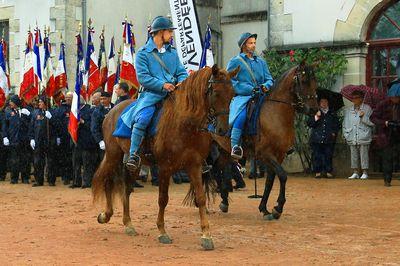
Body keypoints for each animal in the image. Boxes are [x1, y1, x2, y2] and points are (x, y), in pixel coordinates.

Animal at [92, 65, 239, 250]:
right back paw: (106, 215)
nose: (223, 130)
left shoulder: (195, 166)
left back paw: (128, 224)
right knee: (108, 181)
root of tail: (112, 110)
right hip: (113, 156)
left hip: (134, 164)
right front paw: (162, 232)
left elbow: (200, 198)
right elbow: (163, 199)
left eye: (233, 94)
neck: (185, 124)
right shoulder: (165, 168)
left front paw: (206, 235)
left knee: (126, 188)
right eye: (216, 93)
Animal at [212, 61, 318, 219]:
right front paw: (278, 207)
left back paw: (224, 200)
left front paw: (265, 208)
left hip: (223, 149)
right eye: (304, 81)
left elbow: (270, 180)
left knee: (218, 168)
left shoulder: (278, 155)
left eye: (315, 82)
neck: (275, 113)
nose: (314, 110)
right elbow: (282, 176)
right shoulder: (266, 154)